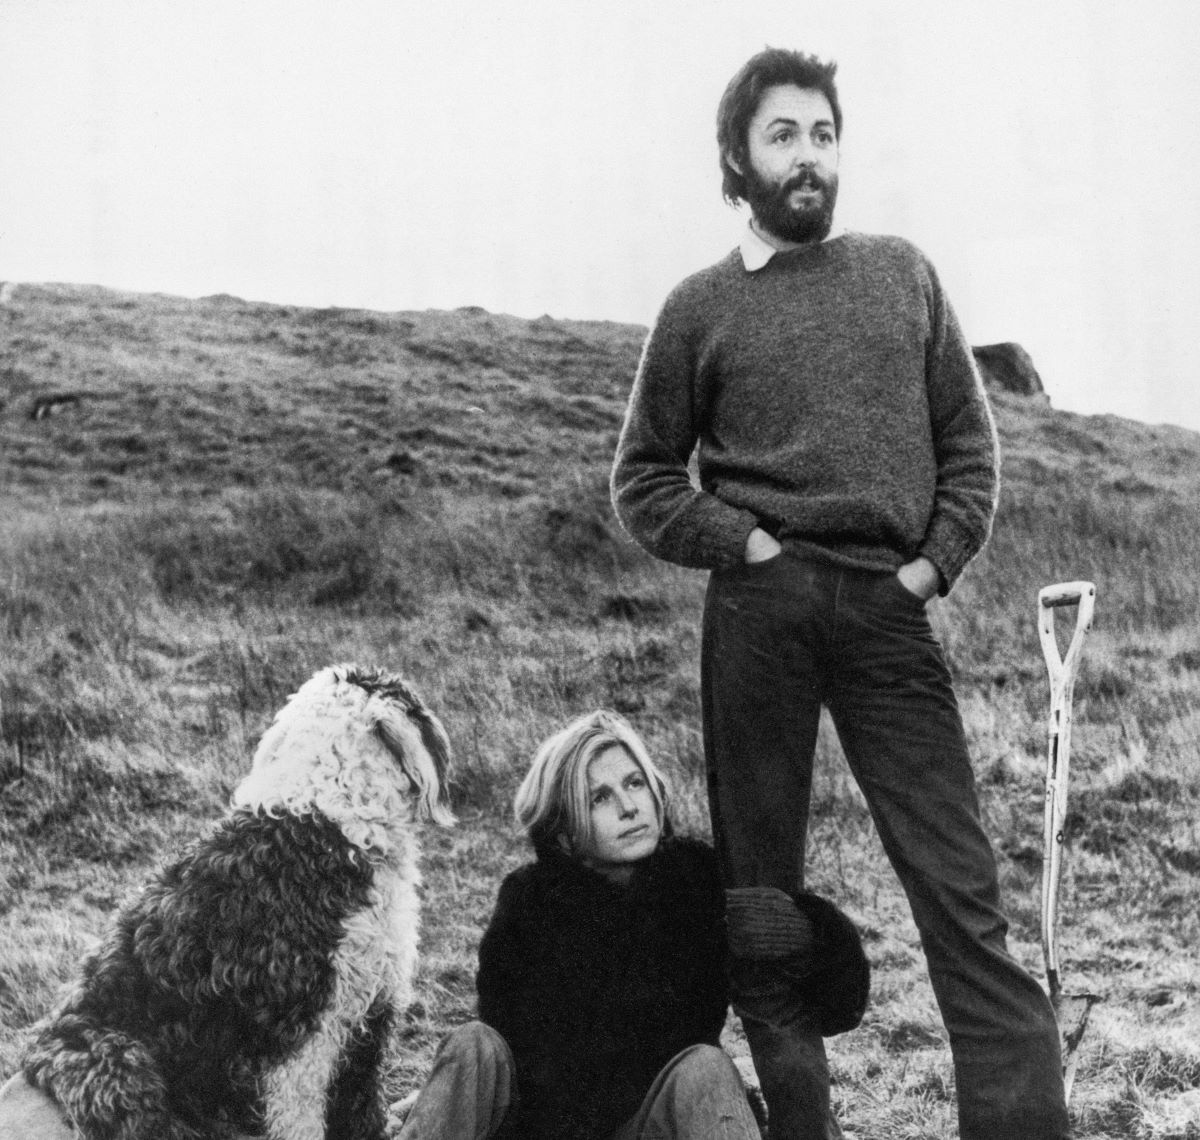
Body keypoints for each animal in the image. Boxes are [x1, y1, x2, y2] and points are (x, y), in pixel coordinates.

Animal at [15, 667, 453, 1137]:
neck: (327, 827)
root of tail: (36, 1051)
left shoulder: (372, 1015)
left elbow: (362, 1105)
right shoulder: (302, 1040)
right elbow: (301, 1118)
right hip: (121, 1064)